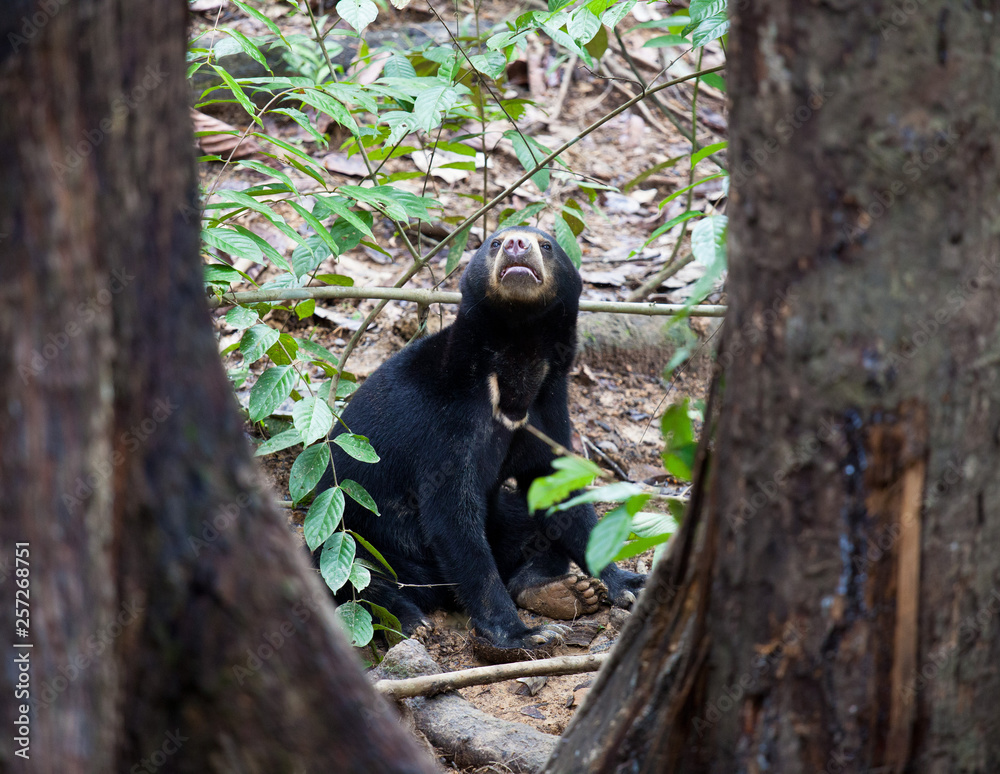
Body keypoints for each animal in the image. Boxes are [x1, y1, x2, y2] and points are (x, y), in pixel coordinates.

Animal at [317, 225, 645, 660]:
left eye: (547, 245)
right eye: (495, 242)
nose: (517, 245)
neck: (516, 361)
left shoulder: (548, 407)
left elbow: (561, 491)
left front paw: (626, 582)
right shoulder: (447, 423)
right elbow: (452, 517)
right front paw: (525, 635)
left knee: (529, 529)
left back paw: (562, 591)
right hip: (355, 535)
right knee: (356, 573)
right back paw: (410, 621)